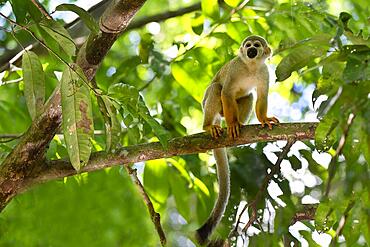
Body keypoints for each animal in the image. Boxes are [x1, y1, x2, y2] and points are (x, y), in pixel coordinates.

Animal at [197, 35, 278, 245]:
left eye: (256, 46)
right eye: (248, 45)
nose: (250, 50)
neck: (251, 67)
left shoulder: (265, 73)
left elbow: (261, 97)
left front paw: (264, 119)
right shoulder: (235, 68)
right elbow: (226, 92)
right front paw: (232, 124)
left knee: (248, 96)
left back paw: (241, 123)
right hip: (213, 108)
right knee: (216, 88)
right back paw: (212, 125)